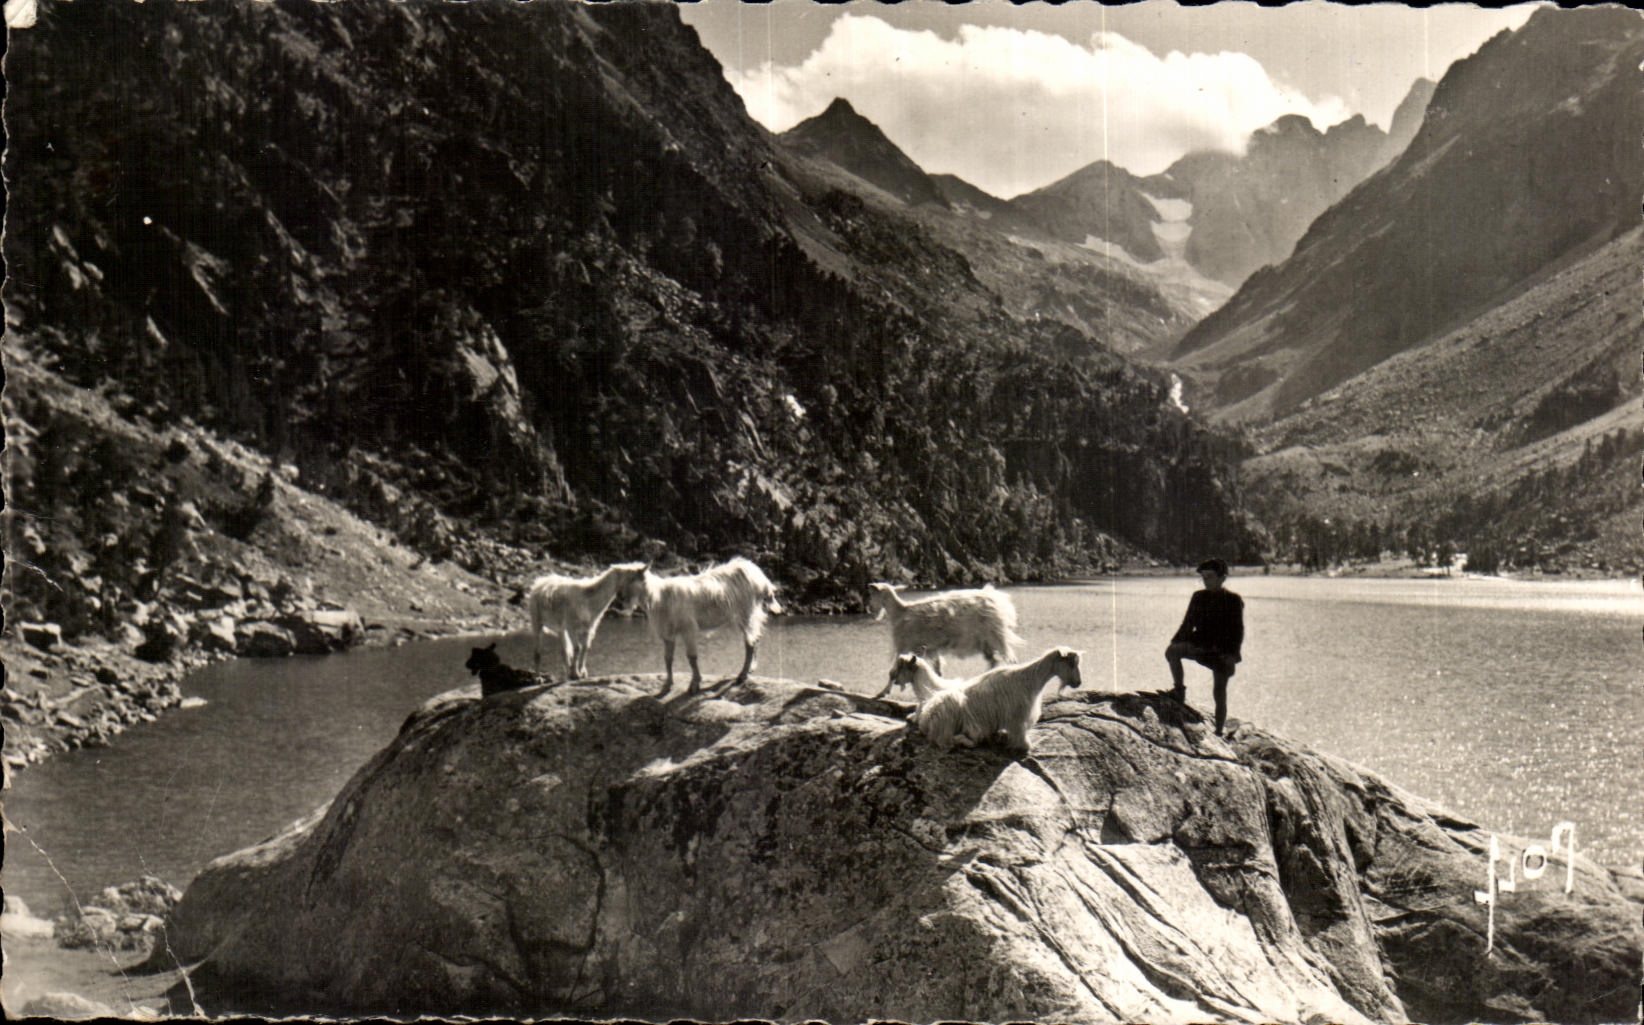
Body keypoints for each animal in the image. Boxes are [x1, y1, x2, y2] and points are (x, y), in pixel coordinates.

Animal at [630, 557, 782, 694]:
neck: (659, 595)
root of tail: (761, 578)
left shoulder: (687, 627)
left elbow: (691, 656)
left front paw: (694, 685)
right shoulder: (668, 631)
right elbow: (668, 658)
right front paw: (668, 684)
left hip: (746, 612)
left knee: (750, 642)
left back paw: (742, 675)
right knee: (754, 639)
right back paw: (749, 670)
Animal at [868, 583, 1022, 696]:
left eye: (872, 594)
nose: (869, 609)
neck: (900, 612)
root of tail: (999, 601)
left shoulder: (905, 646)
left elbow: (892, 672)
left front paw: (882, 693)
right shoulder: (930, 649)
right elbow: (937, 671)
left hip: (995, 636)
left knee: (1010, 660)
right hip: (987, 642)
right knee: (994, 661)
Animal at [908, 647, 1082, 753]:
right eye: (1070, 662)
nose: (1078, 683)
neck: (1029, 680)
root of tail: (925, 718)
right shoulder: (1018, 716)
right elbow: (1020, 734)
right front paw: (1025, 746)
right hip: (950, 715)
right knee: (945, 741)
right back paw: (966, 740)